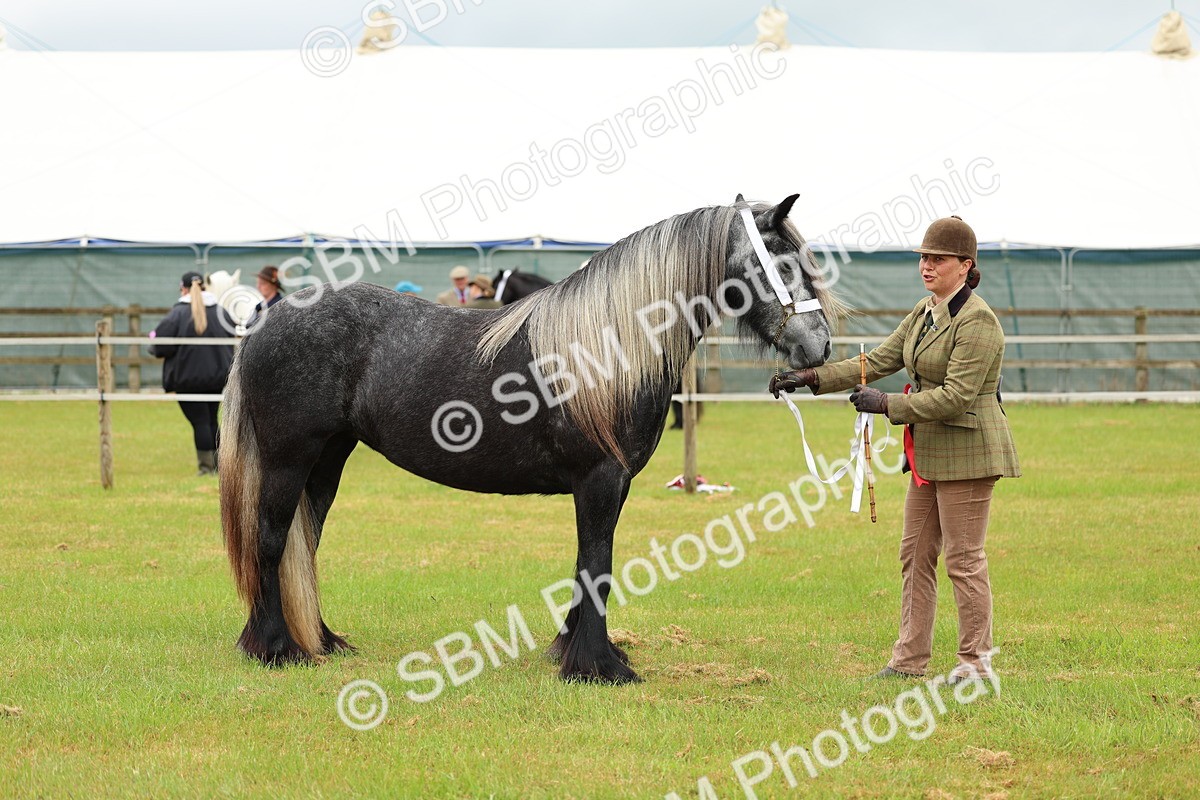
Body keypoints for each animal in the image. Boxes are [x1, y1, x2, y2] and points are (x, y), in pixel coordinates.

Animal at [219, 194, 842, 684]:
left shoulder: (610, 486)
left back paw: (319, 639)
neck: (607, 346)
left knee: (304, 542)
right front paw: (598, 668)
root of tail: (269, 319)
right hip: (288, 458)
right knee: (270, 540)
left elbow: (587, 564)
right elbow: (598, 565)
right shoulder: (599, 479)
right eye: (783, 263)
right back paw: (276, 649)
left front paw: (573, 651)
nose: (819, 348)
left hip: (326, 461)